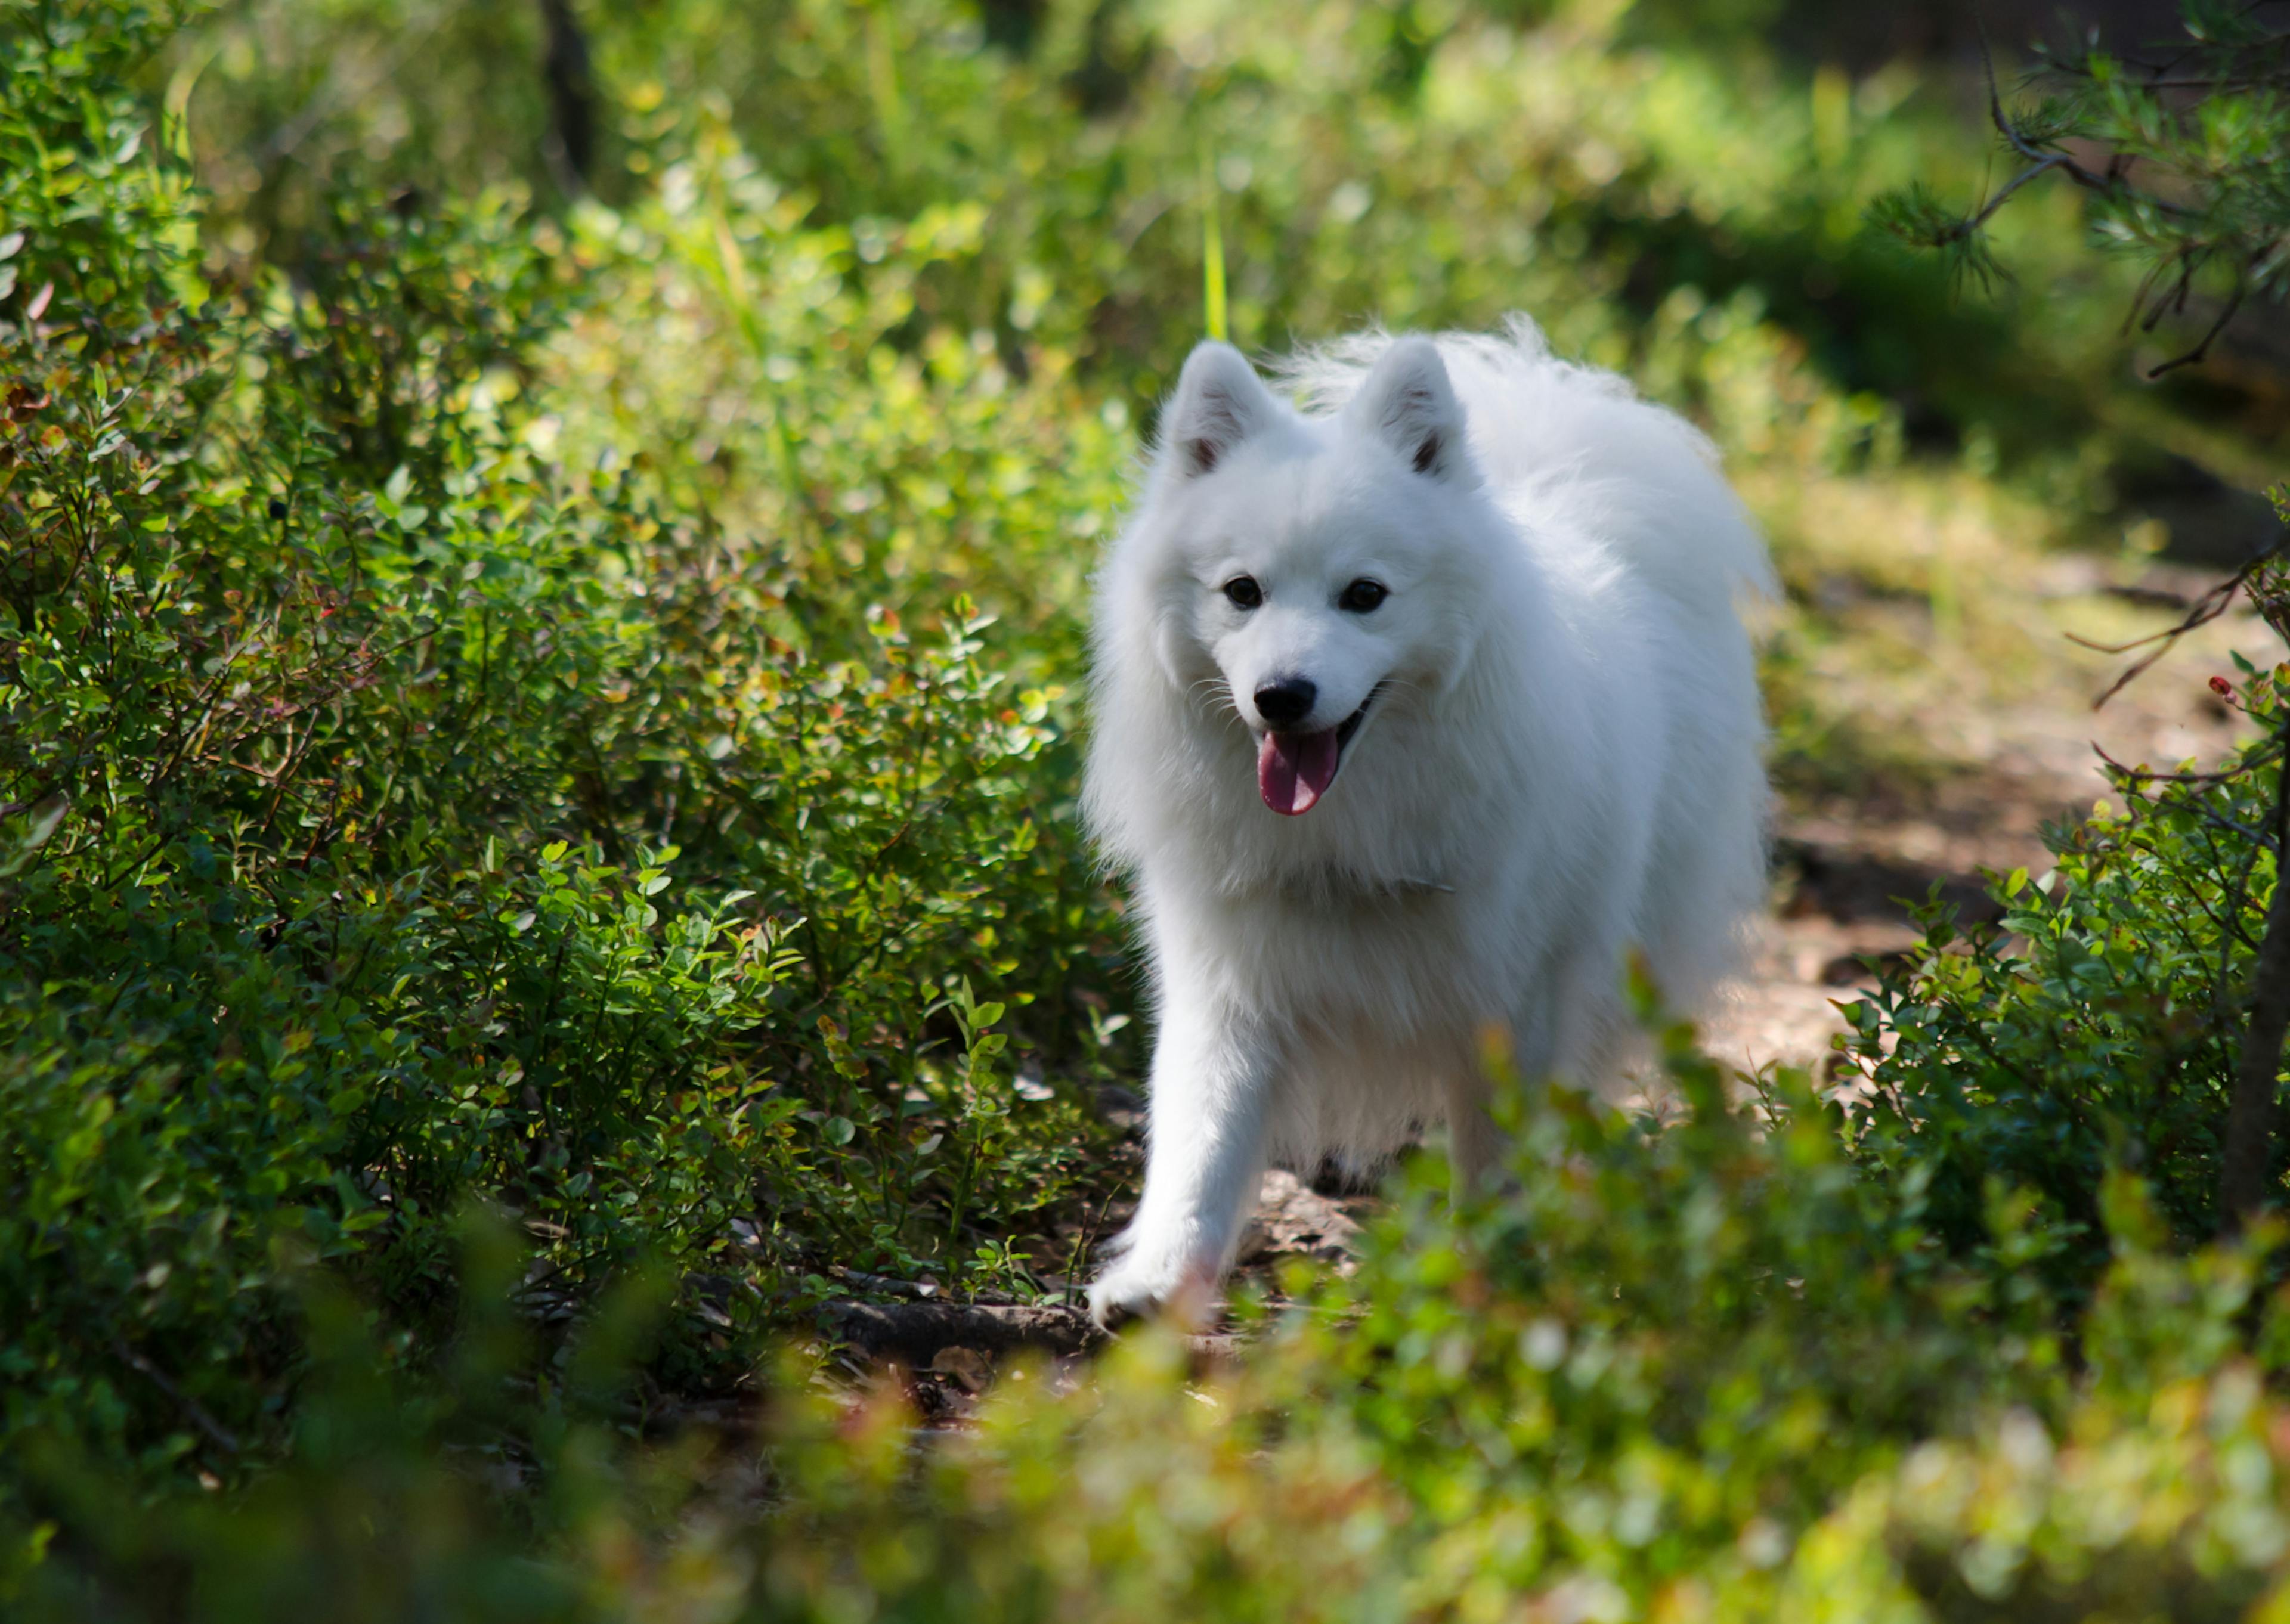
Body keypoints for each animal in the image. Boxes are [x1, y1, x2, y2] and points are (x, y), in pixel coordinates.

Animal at [1081, 320, 1777, 1328]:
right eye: (1242, 592)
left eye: (1365, 595)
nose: (1282, 697)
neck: (1351, 827)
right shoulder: (1231, 984)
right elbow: (1201, 1142)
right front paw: (1158, 1282)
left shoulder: (1515, 1001)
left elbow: (1497, 1163)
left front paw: (1497, 1288)